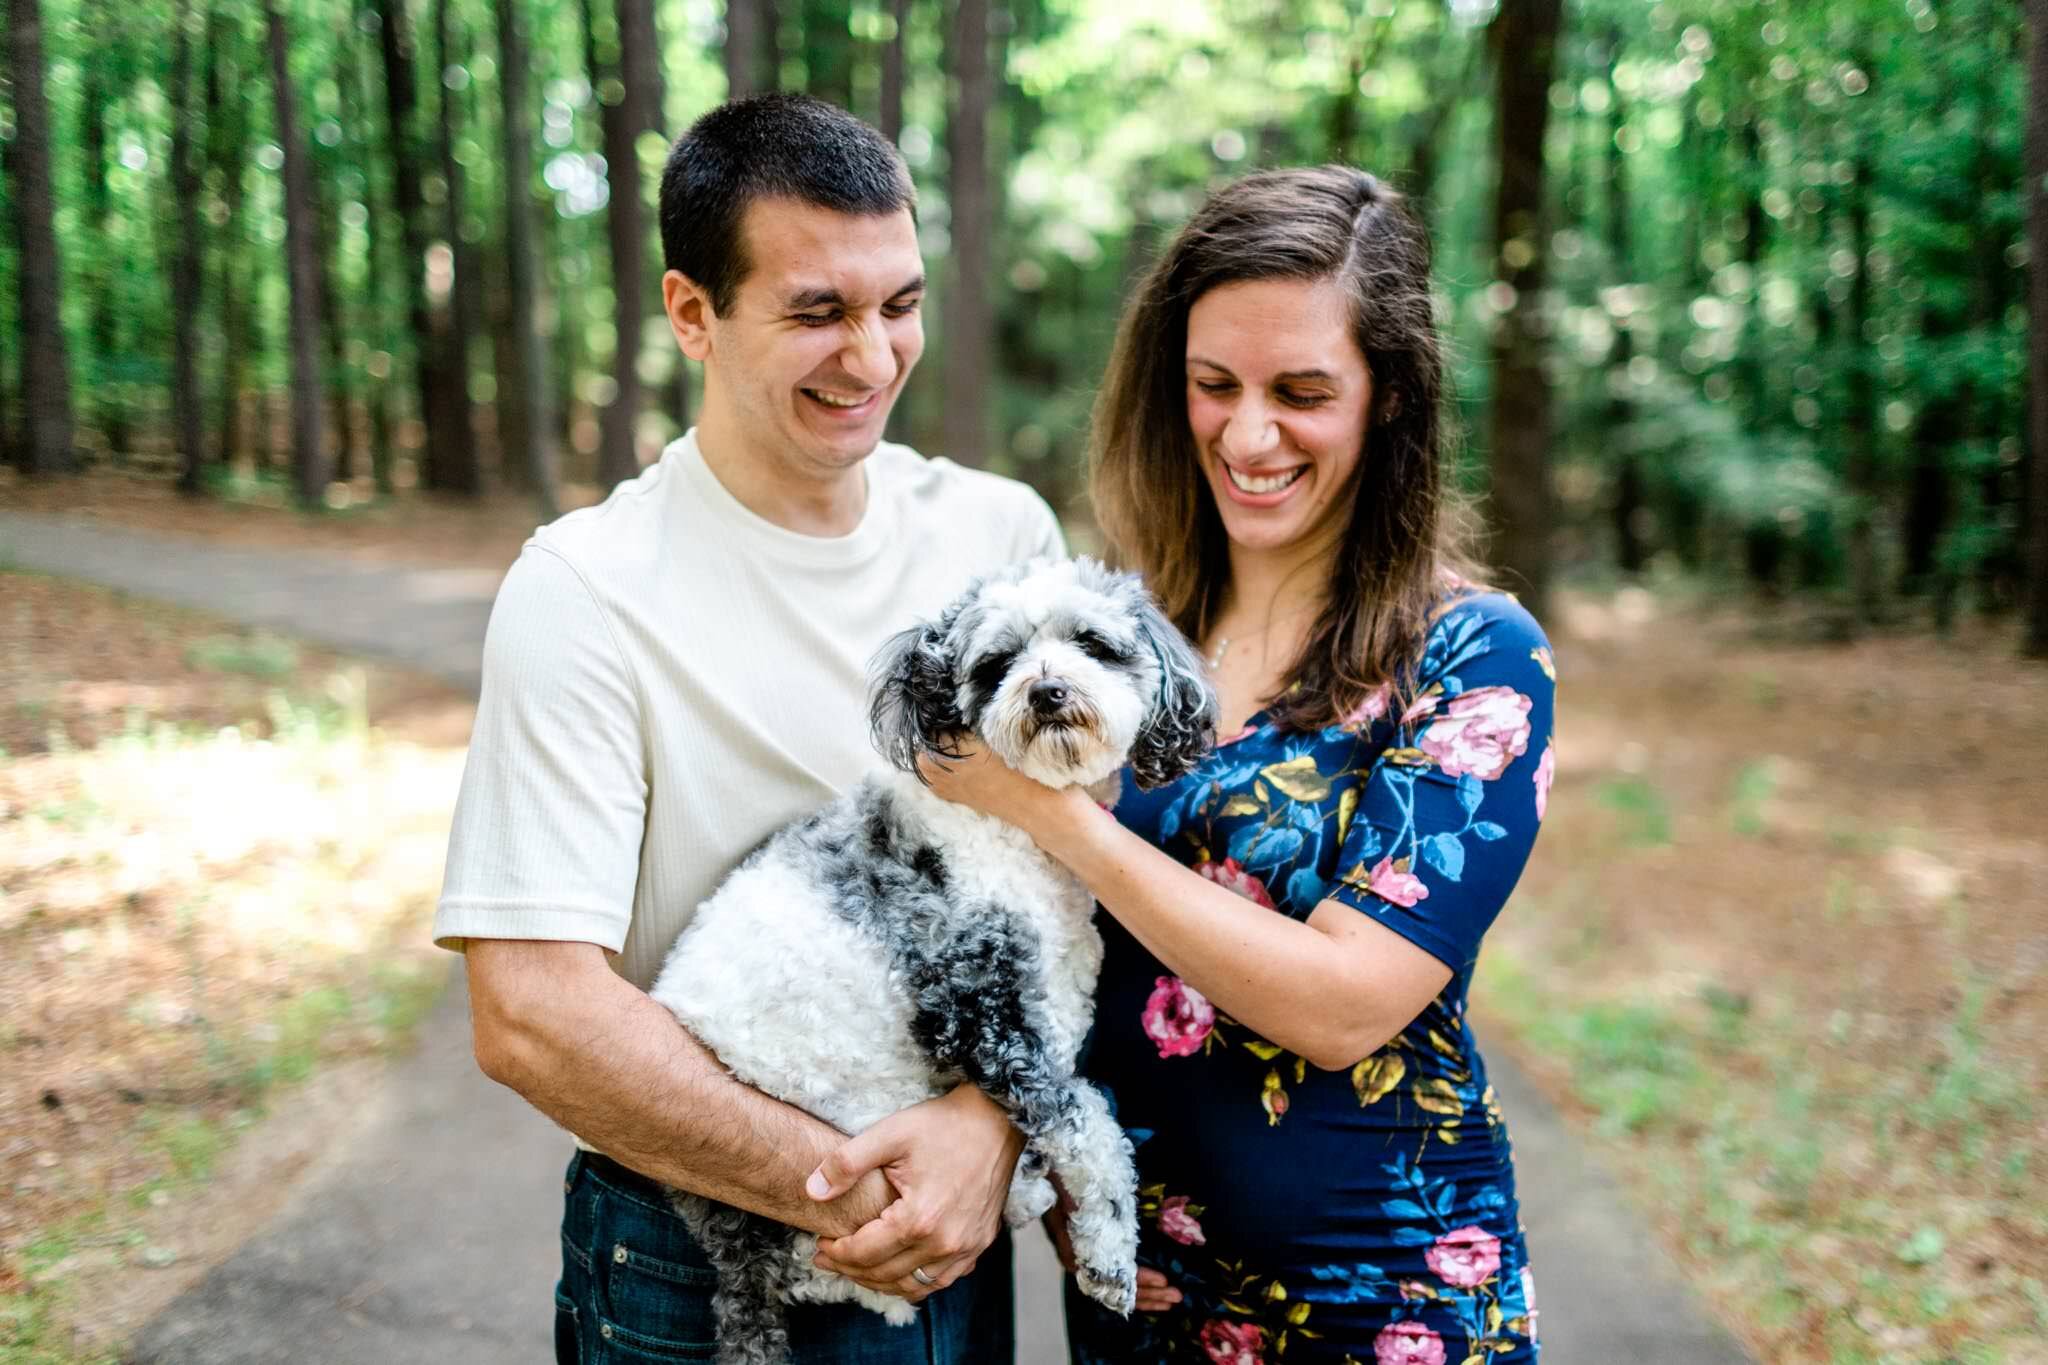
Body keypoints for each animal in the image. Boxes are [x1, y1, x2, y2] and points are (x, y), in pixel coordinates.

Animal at [643, 556, 1212, 1365]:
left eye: (1092, 644)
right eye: (996, 664)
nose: (1047, 691)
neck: (1015, 832)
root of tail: (734, 1259)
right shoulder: (977, 1009)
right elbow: (1086, 1120)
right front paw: (1108, 1250)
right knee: (853, 1285)